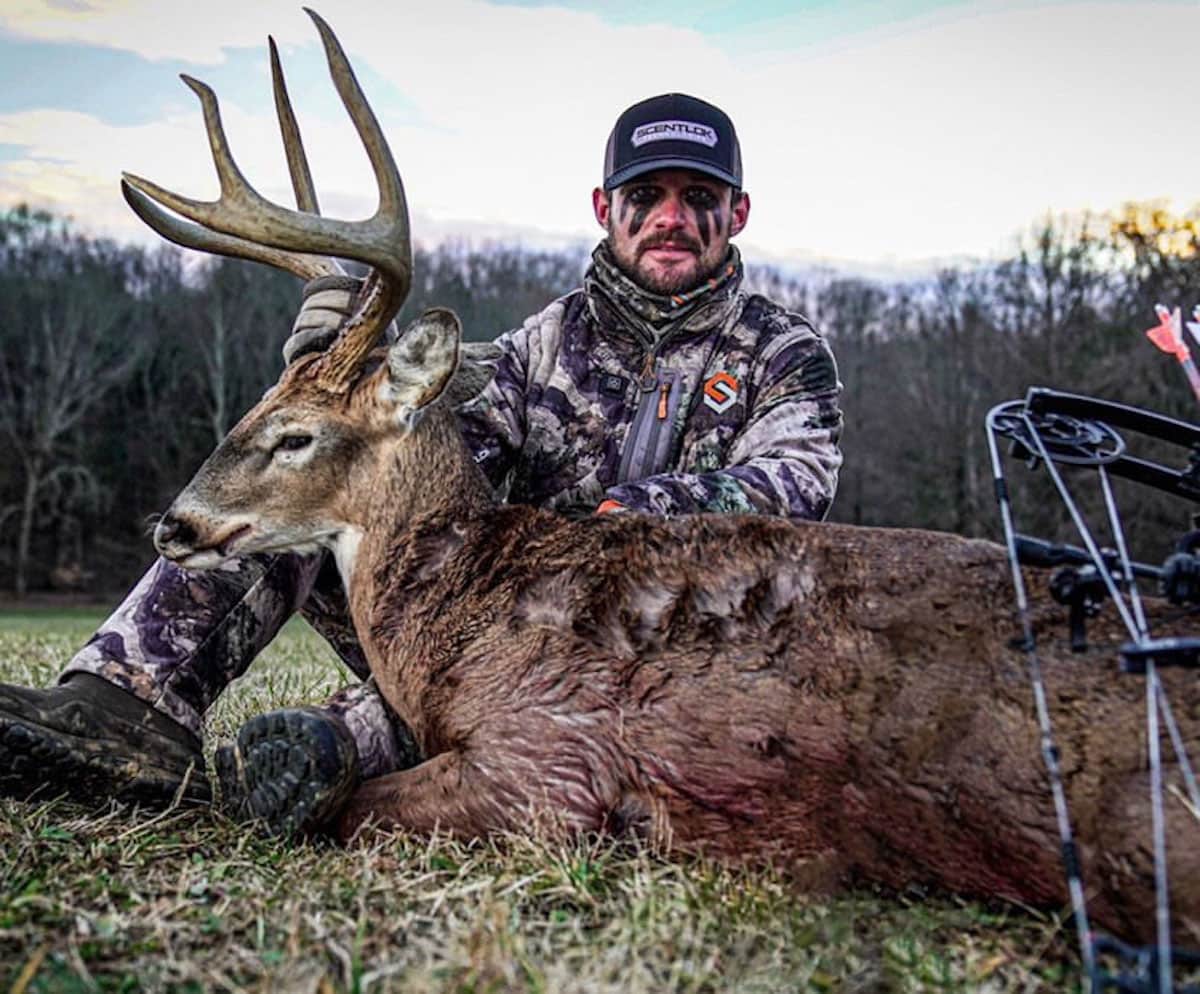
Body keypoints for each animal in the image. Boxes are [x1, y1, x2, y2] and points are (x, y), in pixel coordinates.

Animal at [126, 11, 1198, 944]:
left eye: (296, 436)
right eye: (254, 408)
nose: (174, 523)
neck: (462, 615)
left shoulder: (549, 764)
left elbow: (353, 809)